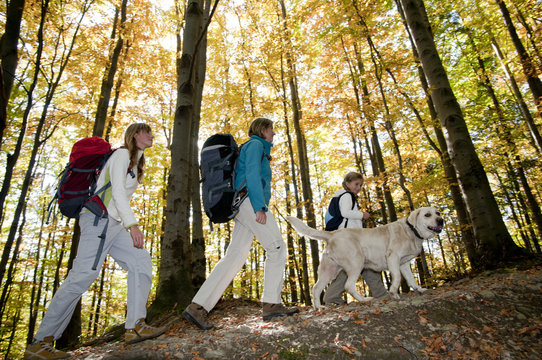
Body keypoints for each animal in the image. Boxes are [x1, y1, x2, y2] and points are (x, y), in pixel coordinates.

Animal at [286, 207, 444, 308]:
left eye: (438, 212)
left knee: (316, 288)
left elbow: (411, 279)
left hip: (329, 270)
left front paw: (420, 289)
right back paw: (364, 299)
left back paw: (318, 307)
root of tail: (332, 234)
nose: (441, 220)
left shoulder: (404, 263)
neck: (411, 230)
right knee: (348, 286)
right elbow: (398, 277)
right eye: (427, 215)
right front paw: (393, 292)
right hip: (357, 262)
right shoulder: (393, 257)